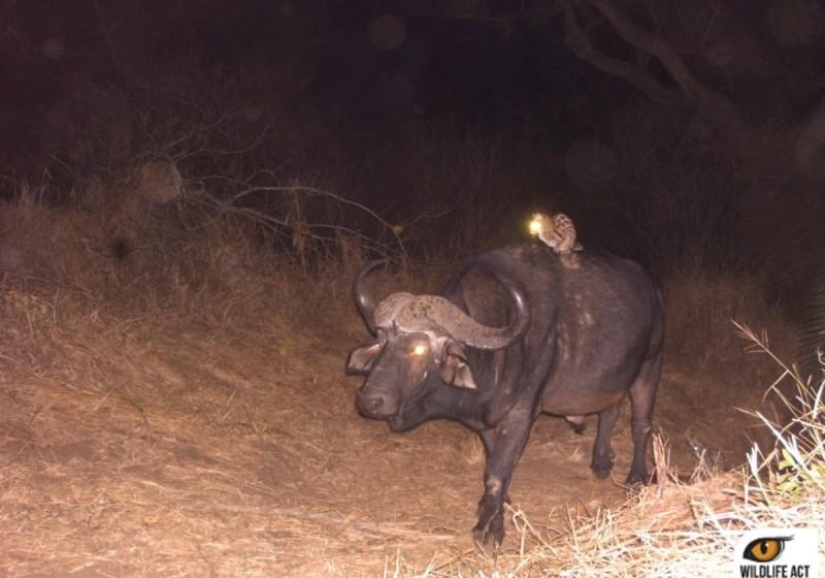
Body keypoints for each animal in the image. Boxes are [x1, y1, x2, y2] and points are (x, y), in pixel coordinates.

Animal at [346, 244, 664, 544]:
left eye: (420, 348)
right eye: (381, 341)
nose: (369, 401)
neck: (494, 357)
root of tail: (652, 290)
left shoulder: (521, 415)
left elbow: (497, 473)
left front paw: (489, 530)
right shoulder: (487, 421)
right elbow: (493, 462)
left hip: (649, 367)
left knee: (640, 424)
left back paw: (637, 478)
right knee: (610, 411)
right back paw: (600, 462)